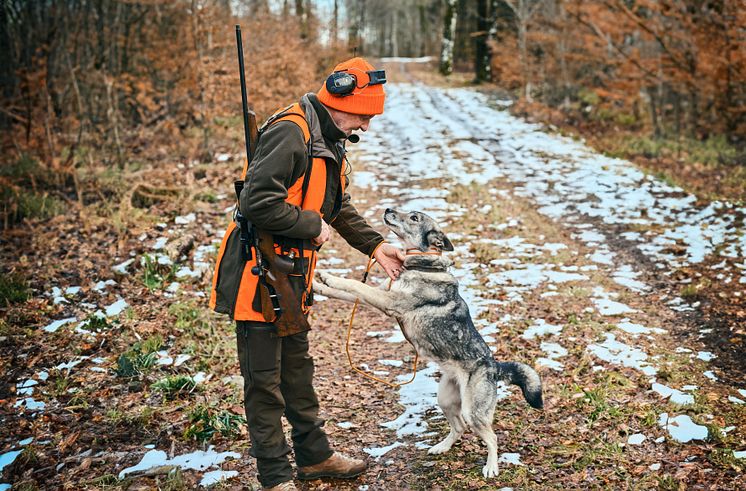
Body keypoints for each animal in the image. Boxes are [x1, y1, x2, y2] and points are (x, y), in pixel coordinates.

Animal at [310, 208, 544, 476]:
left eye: (414, 218)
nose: (388, 209)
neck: (422, 264)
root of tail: (494, 367)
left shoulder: (388, 301)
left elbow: (355, 284)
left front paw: (329, 277)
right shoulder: (381, 294)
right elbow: (345, 291)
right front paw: (317, 283)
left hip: (472, 410)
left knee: (491, 437)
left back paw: (491, 467)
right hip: (446, 399)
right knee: (459, 427)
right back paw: (441, 447)